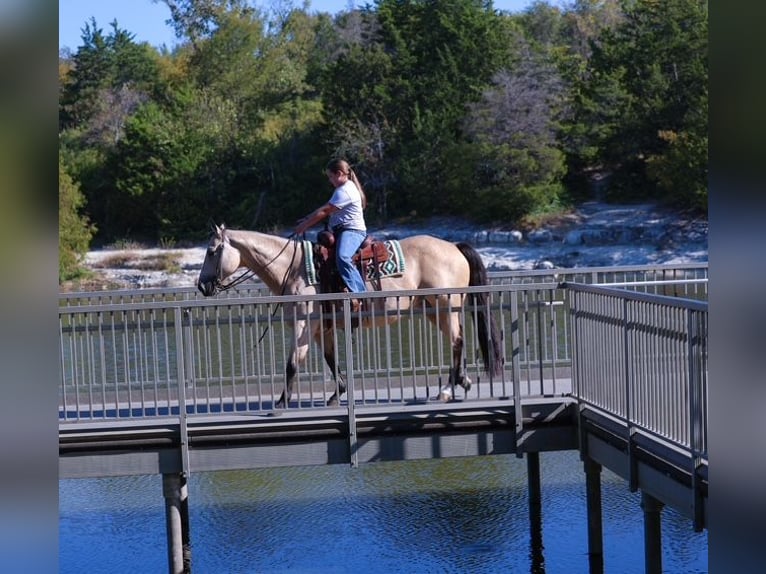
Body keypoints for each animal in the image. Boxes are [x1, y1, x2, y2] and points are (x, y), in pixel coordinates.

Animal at [197, 224, 502, 407]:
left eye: (212, 252)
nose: (202, 286)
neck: (294, 269)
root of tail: (454, 247)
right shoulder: (322, 329)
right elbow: (331, 361)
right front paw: (337, 394)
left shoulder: (303, 326)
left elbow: (292, 364)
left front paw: (281, 402)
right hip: (436, 310)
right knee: (458, 340)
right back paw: (461, 381)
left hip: (444, 306)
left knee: (457, 342)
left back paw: (447, 389)